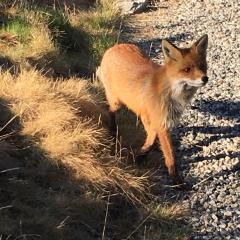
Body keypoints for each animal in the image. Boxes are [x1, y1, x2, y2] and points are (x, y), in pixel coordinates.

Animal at [97, 34, 208, 184]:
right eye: (187, 70)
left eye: (202, 66)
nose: (205, 78)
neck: (170, 93)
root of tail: (115, 46)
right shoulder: (155, 119)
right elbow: (168, 153)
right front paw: (175, 178)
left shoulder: (164, 120)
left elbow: (154, 139)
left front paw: (143, 154)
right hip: (116, 102)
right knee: (110, 110)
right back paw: (113, 130)